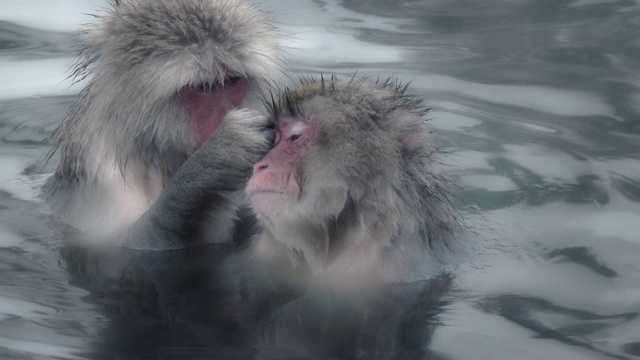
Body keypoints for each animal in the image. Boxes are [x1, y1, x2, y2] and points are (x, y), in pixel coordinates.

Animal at [43, 0, 284, 242]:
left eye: (232, 81)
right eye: (204, 87)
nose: (231, 111)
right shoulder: (105, 179)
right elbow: (118, 242)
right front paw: (220, 155)